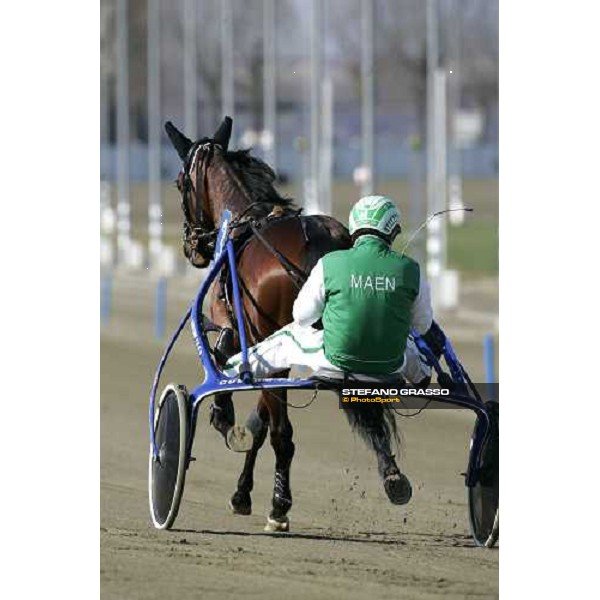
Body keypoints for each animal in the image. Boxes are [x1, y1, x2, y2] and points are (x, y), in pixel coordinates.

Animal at [166, 117, 406, 528]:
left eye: (181, 182)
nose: (192, 246)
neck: (245, 222)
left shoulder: (246, 333)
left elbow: (227, 359)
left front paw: (223, 415)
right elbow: (258, 424)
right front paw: (241, 491)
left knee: (284, 435)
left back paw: (279, 506)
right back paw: (392, 476)